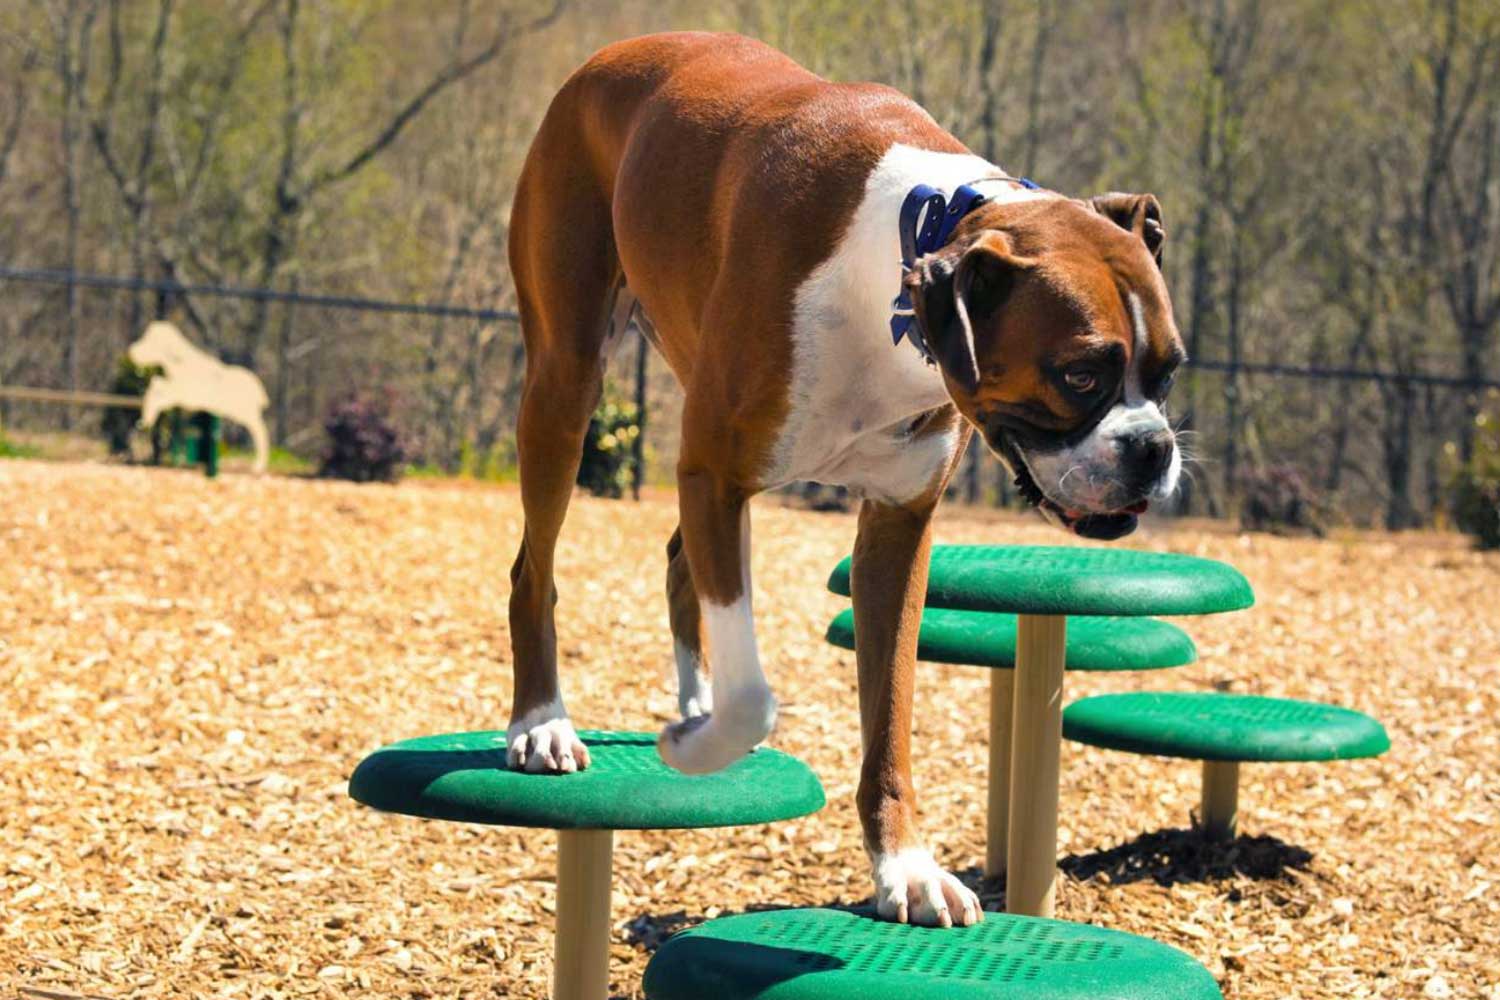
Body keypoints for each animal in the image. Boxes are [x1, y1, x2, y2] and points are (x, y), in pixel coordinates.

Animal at [504, 33, 1182, 929]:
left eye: (1169, 373)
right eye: (1079, 376)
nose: (1153, 448)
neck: (897, 266)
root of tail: (607, 56)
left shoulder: (895, 530)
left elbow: (888, 717)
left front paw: (906, 870)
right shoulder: (717, 475)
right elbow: (755, 695)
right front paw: (692, 751)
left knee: (681, 558)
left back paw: (692, 703)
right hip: (566, 383)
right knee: (533, 569)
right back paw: (542, 724)